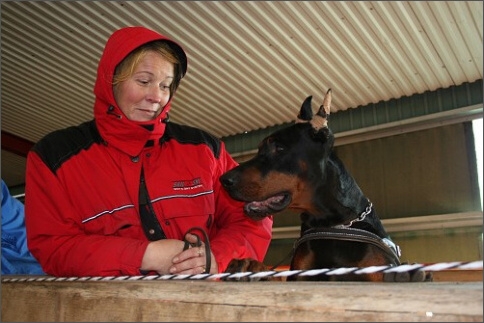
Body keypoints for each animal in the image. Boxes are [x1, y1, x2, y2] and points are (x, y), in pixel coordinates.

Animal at [221, 89, 430, 284]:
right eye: (259, 149)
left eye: (279, 148)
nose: (224, 180)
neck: (333, 224)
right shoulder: (300, 274)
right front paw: (254, 268)